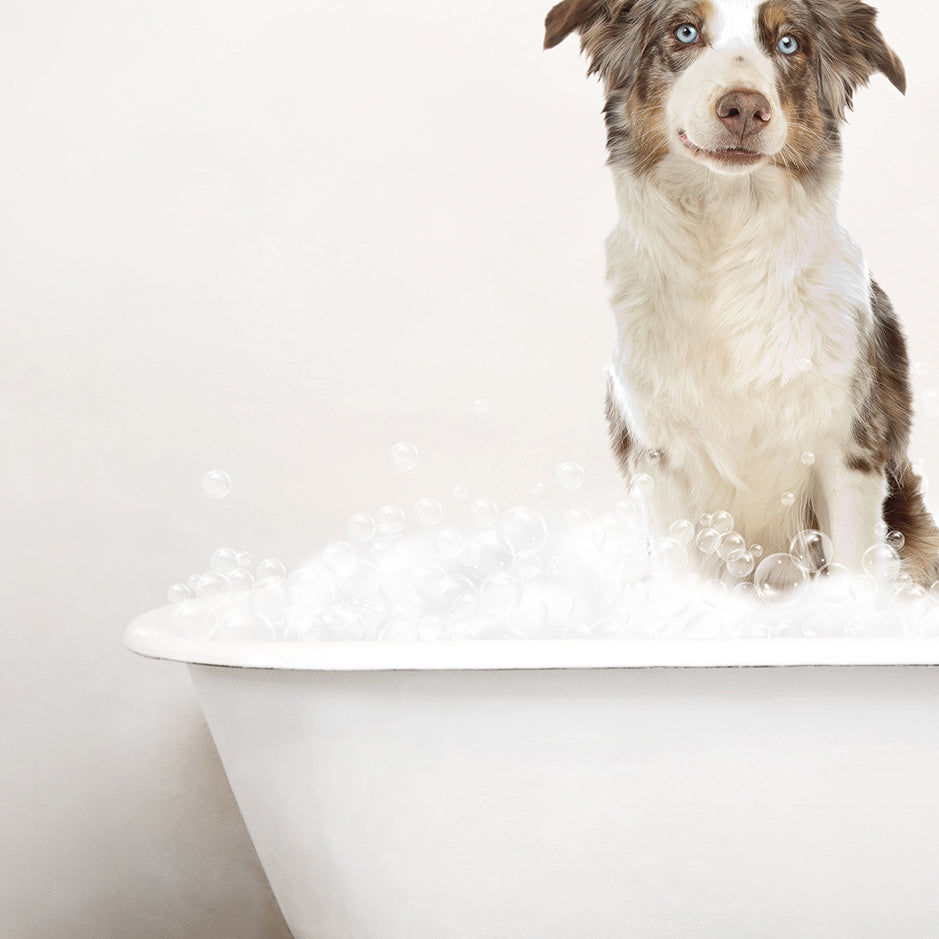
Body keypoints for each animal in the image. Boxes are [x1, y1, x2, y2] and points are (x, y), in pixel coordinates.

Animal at [544, 0, 939, 584]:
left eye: (789, 43)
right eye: (685, 31)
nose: (745, 108)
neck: (725, 240)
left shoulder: (849, 445)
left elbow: (852, 560)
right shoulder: (655, 453)